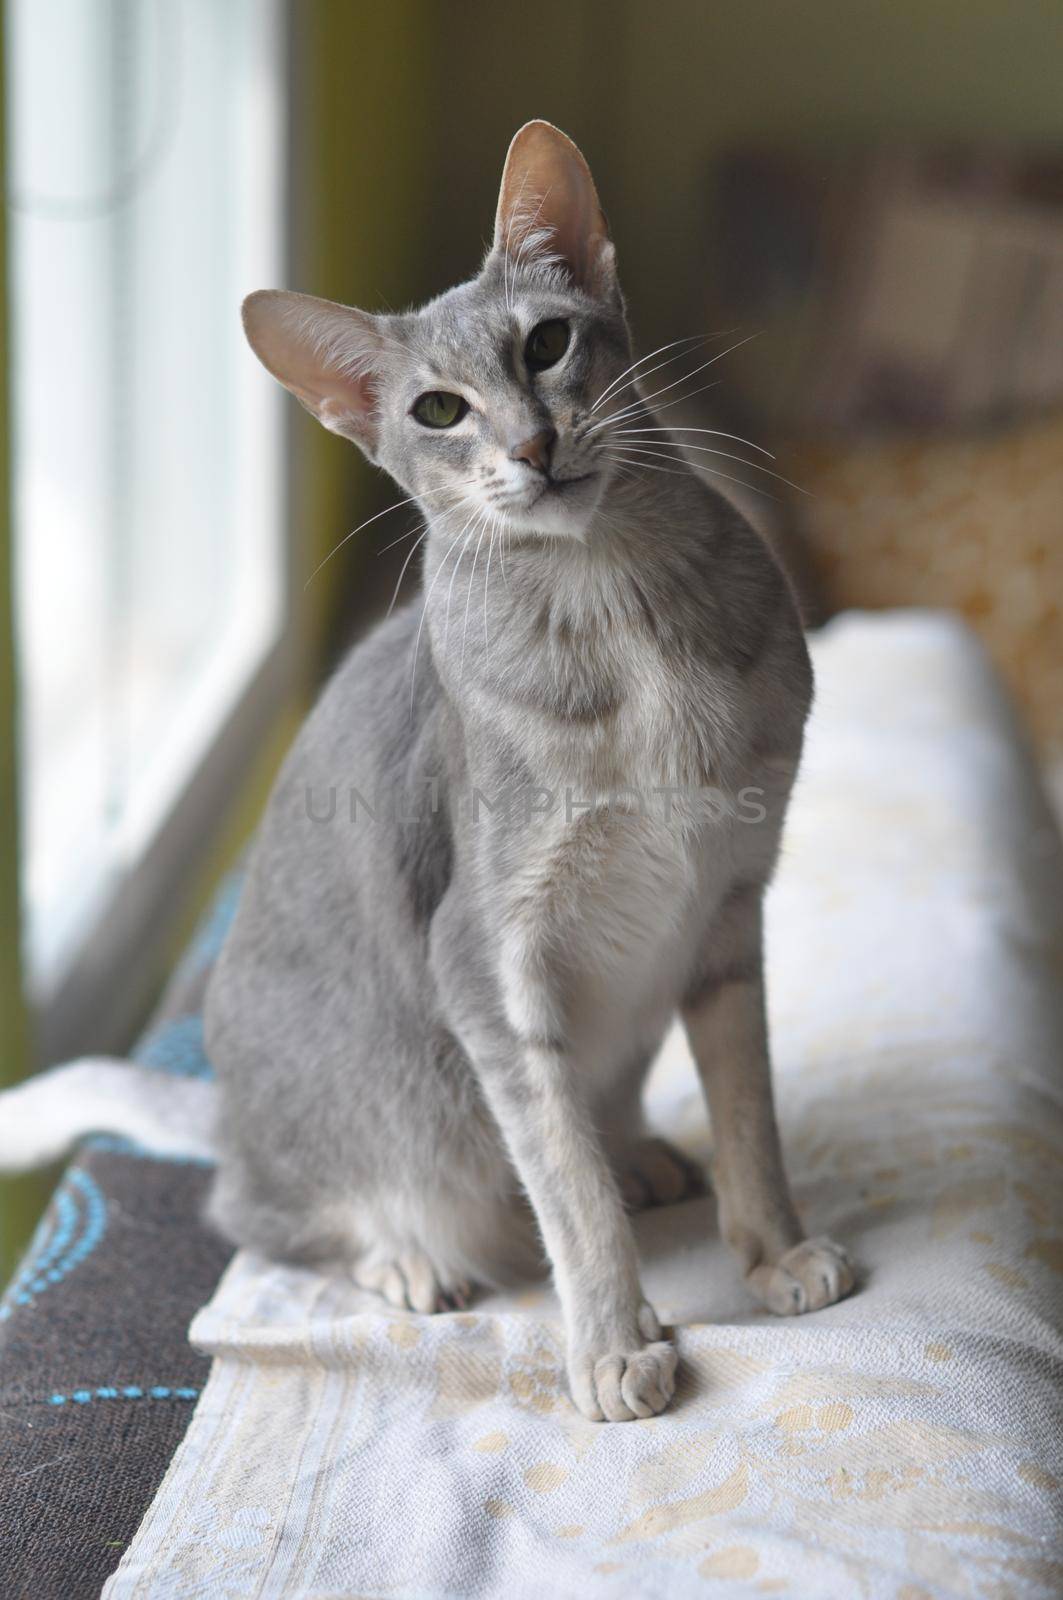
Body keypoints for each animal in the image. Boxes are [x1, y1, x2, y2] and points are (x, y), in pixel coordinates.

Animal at [0, 128, 851, 1427]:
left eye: (546, 343)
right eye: (438, 410)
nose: (532, 447)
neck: (621, 623)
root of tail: (231, 1118)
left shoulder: (727, 906)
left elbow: (746, 1115)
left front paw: (771, 1250)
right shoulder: (486, 953)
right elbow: (562, 1182)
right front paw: (612, 1344)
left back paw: (643, 1152)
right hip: (355, 1115)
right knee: (258, 1215)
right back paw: (404, 1253)